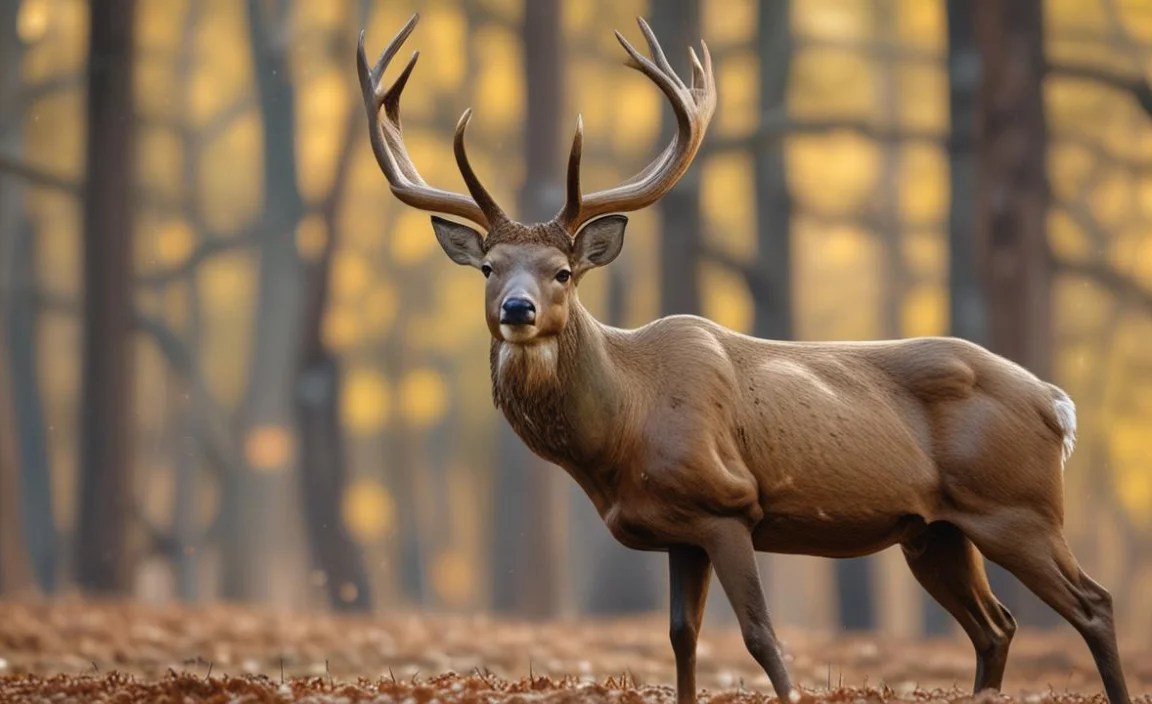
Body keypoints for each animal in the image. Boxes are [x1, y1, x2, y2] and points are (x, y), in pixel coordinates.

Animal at [358, 15, 1131, 704]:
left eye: (563, 273)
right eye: (489, 268)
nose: (516, 310)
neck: (624, 428)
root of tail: (1054, 403)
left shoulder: (727, 503)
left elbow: (762, 637)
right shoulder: (676, 530)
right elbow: (681, 639)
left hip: (1017, 506)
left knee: (1093, 602)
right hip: (935, 531)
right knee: (995, 626)